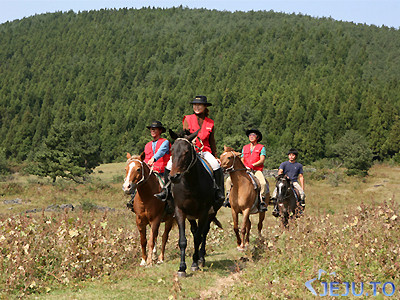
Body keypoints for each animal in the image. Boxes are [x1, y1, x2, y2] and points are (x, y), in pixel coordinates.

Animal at [170, 130, 223, 278]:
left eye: (187, 152)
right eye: (171, 150)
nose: (174, 177)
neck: (190, 184)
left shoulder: (204, 212)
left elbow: (198, 238)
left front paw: (194, 263)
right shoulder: (180, 211)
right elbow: (183, 240)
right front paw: (182, 268)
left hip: (211, 212)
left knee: (204, 232)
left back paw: (201, 258)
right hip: (191, 216)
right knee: (195, 231)